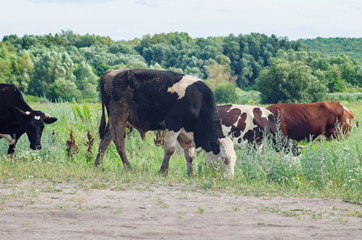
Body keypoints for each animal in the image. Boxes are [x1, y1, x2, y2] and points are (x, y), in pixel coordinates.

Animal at [94, 68, 236, 177]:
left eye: (234, 159)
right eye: (224, 159)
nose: (230, 178)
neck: (197, 100)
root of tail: (111, 72)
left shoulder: (187, 132)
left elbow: (190, 155)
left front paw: (191, 174)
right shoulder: (173, 124)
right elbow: (169, 149)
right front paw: (163, 171)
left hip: (113, 118)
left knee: (106, 140)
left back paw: (98, 165)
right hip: (119, 115)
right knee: (119, 141)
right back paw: (129, 167)